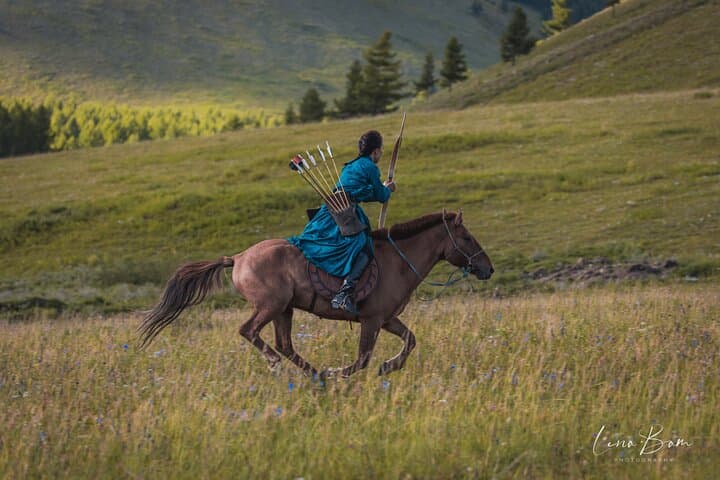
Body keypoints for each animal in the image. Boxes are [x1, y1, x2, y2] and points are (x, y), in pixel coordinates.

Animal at [138, 209, 493, 378]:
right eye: (467, 238)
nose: (487, 268)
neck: (397, 260)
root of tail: (237, 258)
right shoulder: (372, 320)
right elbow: (362, 359)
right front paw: (340, 373)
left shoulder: (387, 319)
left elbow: (410, 341)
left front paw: (388, 366)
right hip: (270, 306)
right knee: (250, 332)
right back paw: (287, 367)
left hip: (284, 310)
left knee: (285, 344)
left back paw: (315, 375)